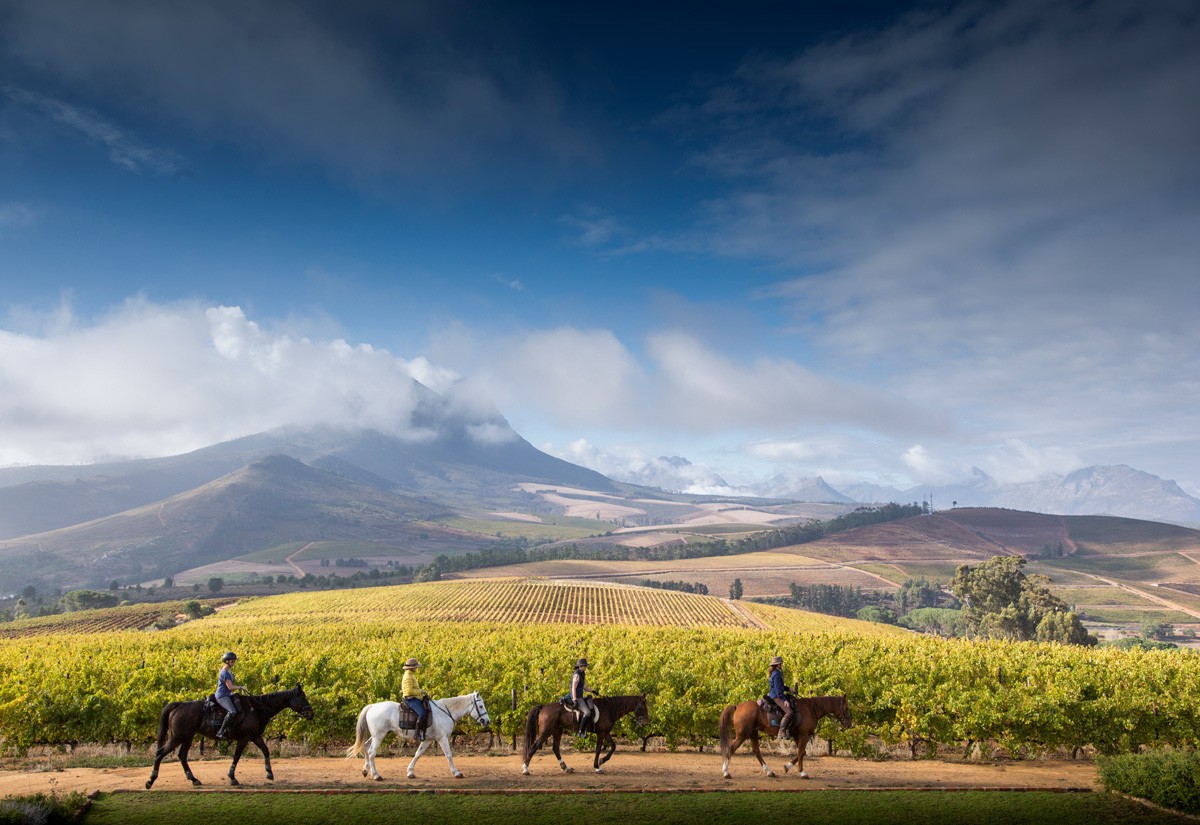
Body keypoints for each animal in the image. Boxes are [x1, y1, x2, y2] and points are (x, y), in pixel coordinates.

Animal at [143, 685, 314, 791]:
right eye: (302, 698)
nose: (311, 714)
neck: (256, 707)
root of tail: (178, 705)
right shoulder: (244, 738)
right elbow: (237, 756)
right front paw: (232, 778)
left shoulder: (254, 736)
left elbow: (265, 751)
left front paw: (269, 773)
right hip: (177, 737)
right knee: (160, 753)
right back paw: (150, 781)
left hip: (187, 737)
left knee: (182, 756)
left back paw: (194, 779)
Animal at [345, 690, 489, 781]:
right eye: (481, 706)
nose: (487, 721)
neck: (445, 711)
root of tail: (372, 706)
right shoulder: (442, 738)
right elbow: (448, 755)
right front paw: (456, 772)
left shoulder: (427, 740)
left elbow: (418, 754)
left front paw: (410, 772)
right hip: (379, 735)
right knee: (371, 752)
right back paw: (376, 775)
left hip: (375, 736)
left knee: (365, 747)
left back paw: (365, 770)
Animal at [516, 690, 648, 777]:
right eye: (642, 707)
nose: (645, 723)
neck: (609, 708)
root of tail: (543, 707)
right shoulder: (601, 733)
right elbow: (599, 749)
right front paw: (597, 766)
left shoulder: (605, 732)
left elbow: (613, 746)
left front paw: (602, 761)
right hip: (545, 732)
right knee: (534, 747)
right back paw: (526, 769)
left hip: (557, 731)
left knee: (555, 749)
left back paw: (566, 768)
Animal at [715, 690, 849, 777]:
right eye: (846, 708)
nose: (849, 724)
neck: (811, 708)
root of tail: (737, 706)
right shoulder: (803, 735)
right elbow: (801, 752)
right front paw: (802, 772)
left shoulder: (798, 736)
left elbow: (802, 752)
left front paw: (787, 767)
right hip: (743, 735)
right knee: (731, 748)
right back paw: (726, 772)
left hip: (753, 733)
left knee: (756, 751)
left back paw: (769, 772)